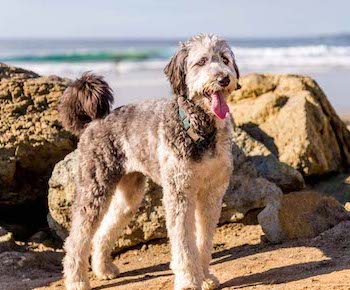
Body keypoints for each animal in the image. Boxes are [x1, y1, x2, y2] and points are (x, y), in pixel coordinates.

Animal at [60, 34, 241, 290]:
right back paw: (76, 281)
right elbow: (184, 242)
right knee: (76, 239)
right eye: (202, 61)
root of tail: (93, 122)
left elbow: (204, 240)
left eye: (225, 60)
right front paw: (188, 280)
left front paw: (205, 277)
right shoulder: (179, 193)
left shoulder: (212, 193)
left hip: (129, 194)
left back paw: (103, 269)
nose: (224, 78)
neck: (201, 129)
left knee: (104, 230)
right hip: (94, 187)